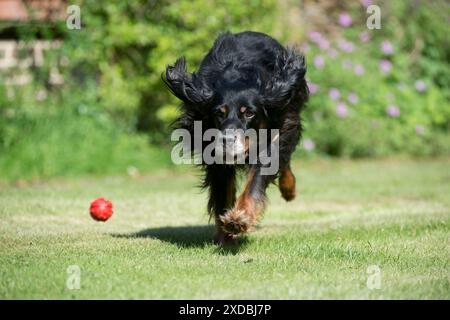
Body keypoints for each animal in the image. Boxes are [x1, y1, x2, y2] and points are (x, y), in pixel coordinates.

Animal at [163, 30, 308, 245]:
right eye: (219, 113)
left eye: (249, 113)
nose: (227, 140)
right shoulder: (213, 153)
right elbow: (223, 192)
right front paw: (226, 235)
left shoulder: (277, 131)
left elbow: (258, 178)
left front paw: (240, 217)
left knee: (285, 161)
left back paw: (289, 189)